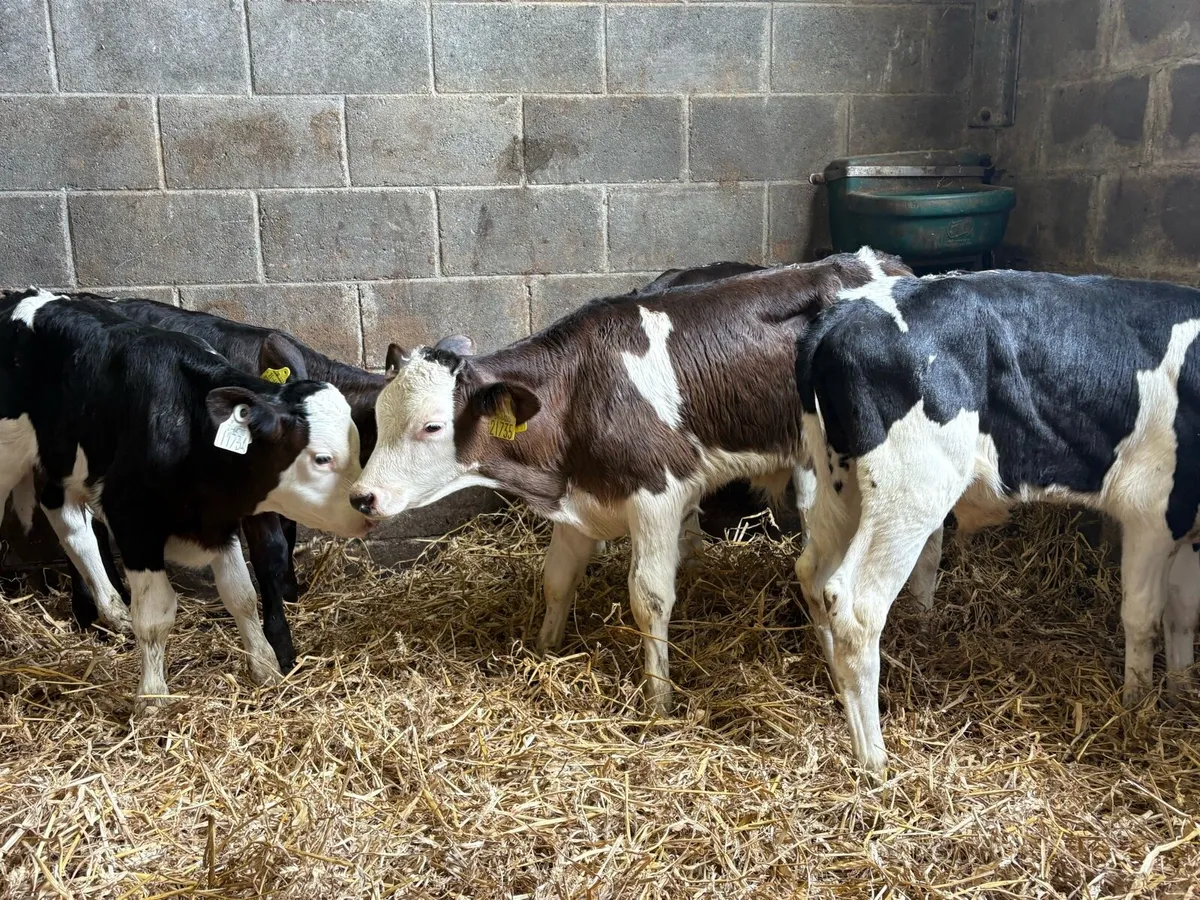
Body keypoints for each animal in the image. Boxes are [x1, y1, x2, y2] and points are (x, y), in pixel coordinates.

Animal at [0, 289, 371, 711]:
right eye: (322, 458)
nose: (365, 505)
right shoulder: (134, 521)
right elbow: (155, 615)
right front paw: (152, 697)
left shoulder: (219, 521)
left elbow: (241, 595)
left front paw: (264, 667)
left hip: (58, 462)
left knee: (70, 525)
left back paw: (111, 609)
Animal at [349, 252, 917, 713]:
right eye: (377, 415)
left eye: (432, 426)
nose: (361, 496)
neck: (579, 392)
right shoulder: (579, 499)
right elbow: (557, 578)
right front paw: (544, 649)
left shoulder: (656, 495)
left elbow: (650, 597)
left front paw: (658, 697)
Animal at [794, 248, 1200, 773]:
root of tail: (840, 312)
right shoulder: (1153, 508)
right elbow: (1143, 614)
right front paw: (1137, 708)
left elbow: (1184, 612)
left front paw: (1180, 694)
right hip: (913, 485)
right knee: (856, 606)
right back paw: (874, 758)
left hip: (839, 476)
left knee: (813, 571)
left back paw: (835, 686)